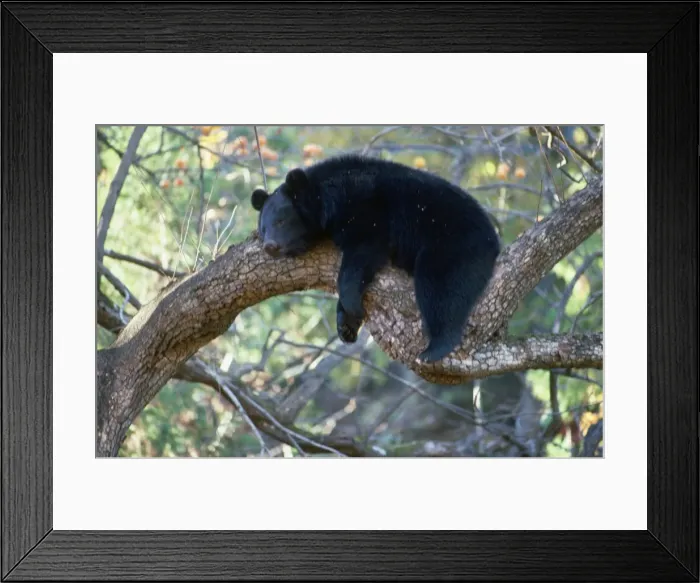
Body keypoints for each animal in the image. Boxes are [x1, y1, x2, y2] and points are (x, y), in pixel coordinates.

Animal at [250, 154, 501, 363]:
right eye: (263, 228)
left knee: (443, 290)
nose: (270, 246)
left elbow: (362, 252)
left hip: (452, 243)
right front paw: (346, 326)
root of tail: (493, 238)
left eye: (281, 221)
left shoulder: (366, 211)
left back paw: (435, 348)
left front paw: (352, 306)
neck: (327, 198)